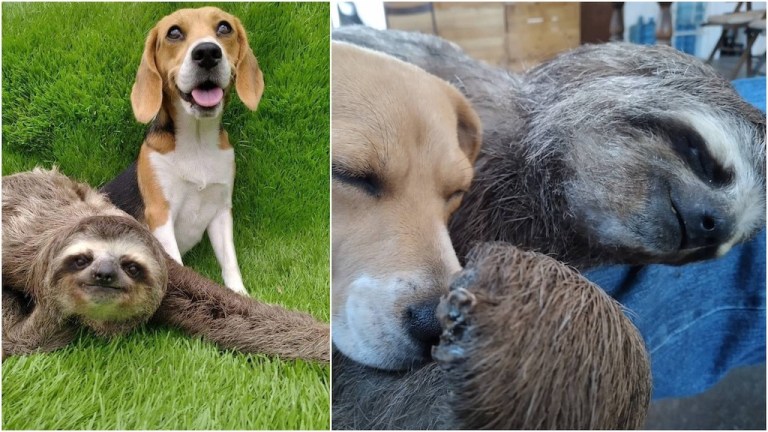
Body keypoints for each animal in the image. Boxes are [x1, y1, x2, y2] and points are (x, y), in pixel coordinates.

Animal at [102, 6, 264, 294]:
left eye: (224, 27)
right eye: (174, 33)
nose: (208, 53)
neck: (197, 143)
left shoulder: (221, 211)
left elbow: (230, 263)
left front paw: (240, 296)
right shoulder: (160, 215)